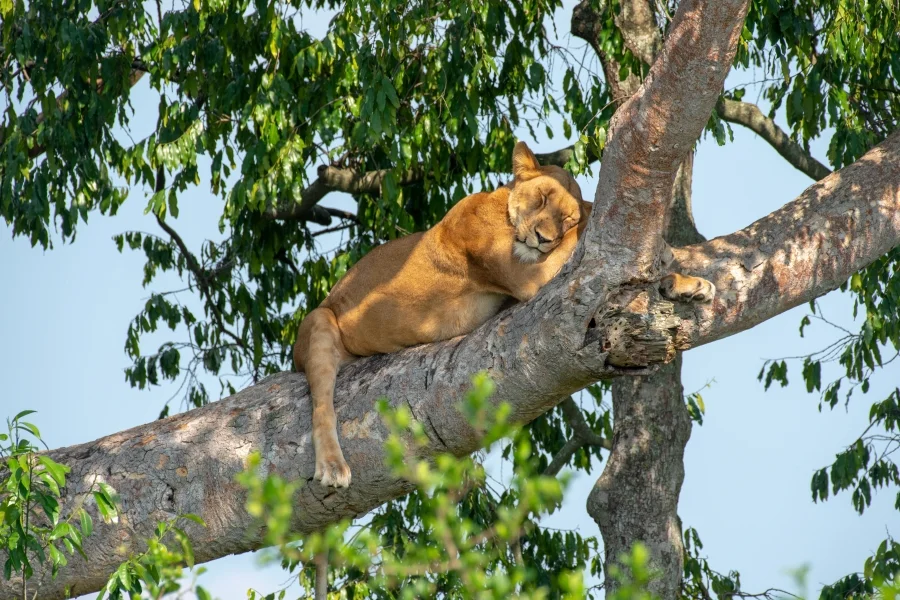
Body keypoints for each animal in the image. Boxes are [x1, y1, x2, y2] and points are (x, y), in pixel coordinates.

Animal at [293, 141, 715, 487]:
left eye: (566, 218)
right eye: (542, 198)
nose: (544, 238)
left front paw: (688, 282)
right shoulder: (527, 276)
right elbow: (585, 244)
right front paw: (662, 251)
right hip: (319, 321)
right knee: (321, 405)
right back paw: (332, 466)